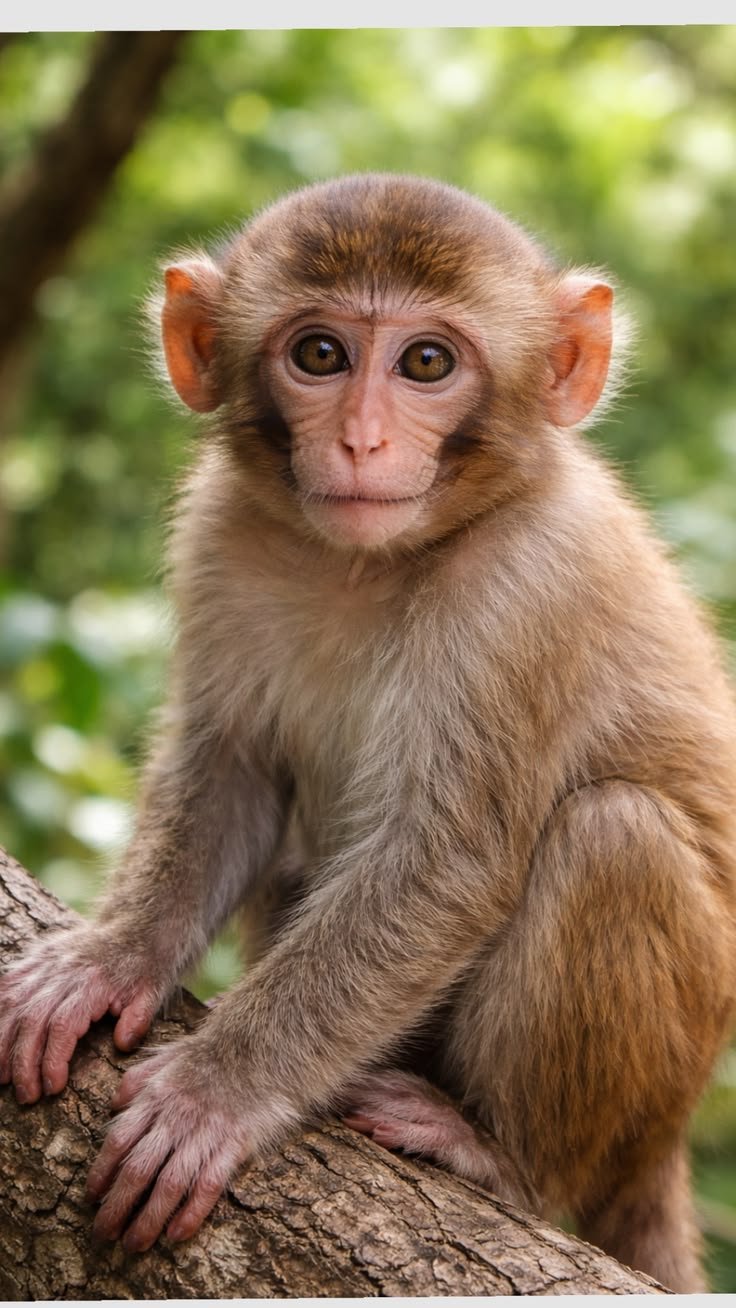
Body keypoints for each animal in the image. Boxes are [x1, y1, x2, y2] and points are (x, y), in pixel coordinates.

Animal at [1, 173, 735, 1291]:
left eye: (427, 362)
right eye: (320, 355)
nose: (360, 443)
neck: (365, 563)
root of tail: (666, 1141)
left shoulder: (530, 583)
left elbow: (445, 863)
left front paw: (215, 1091)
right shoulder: (219, 530)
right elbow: (232, 772)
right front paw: (111, 959)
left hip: (661, 1075)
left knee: (615, 834)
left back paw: (503, 1155)